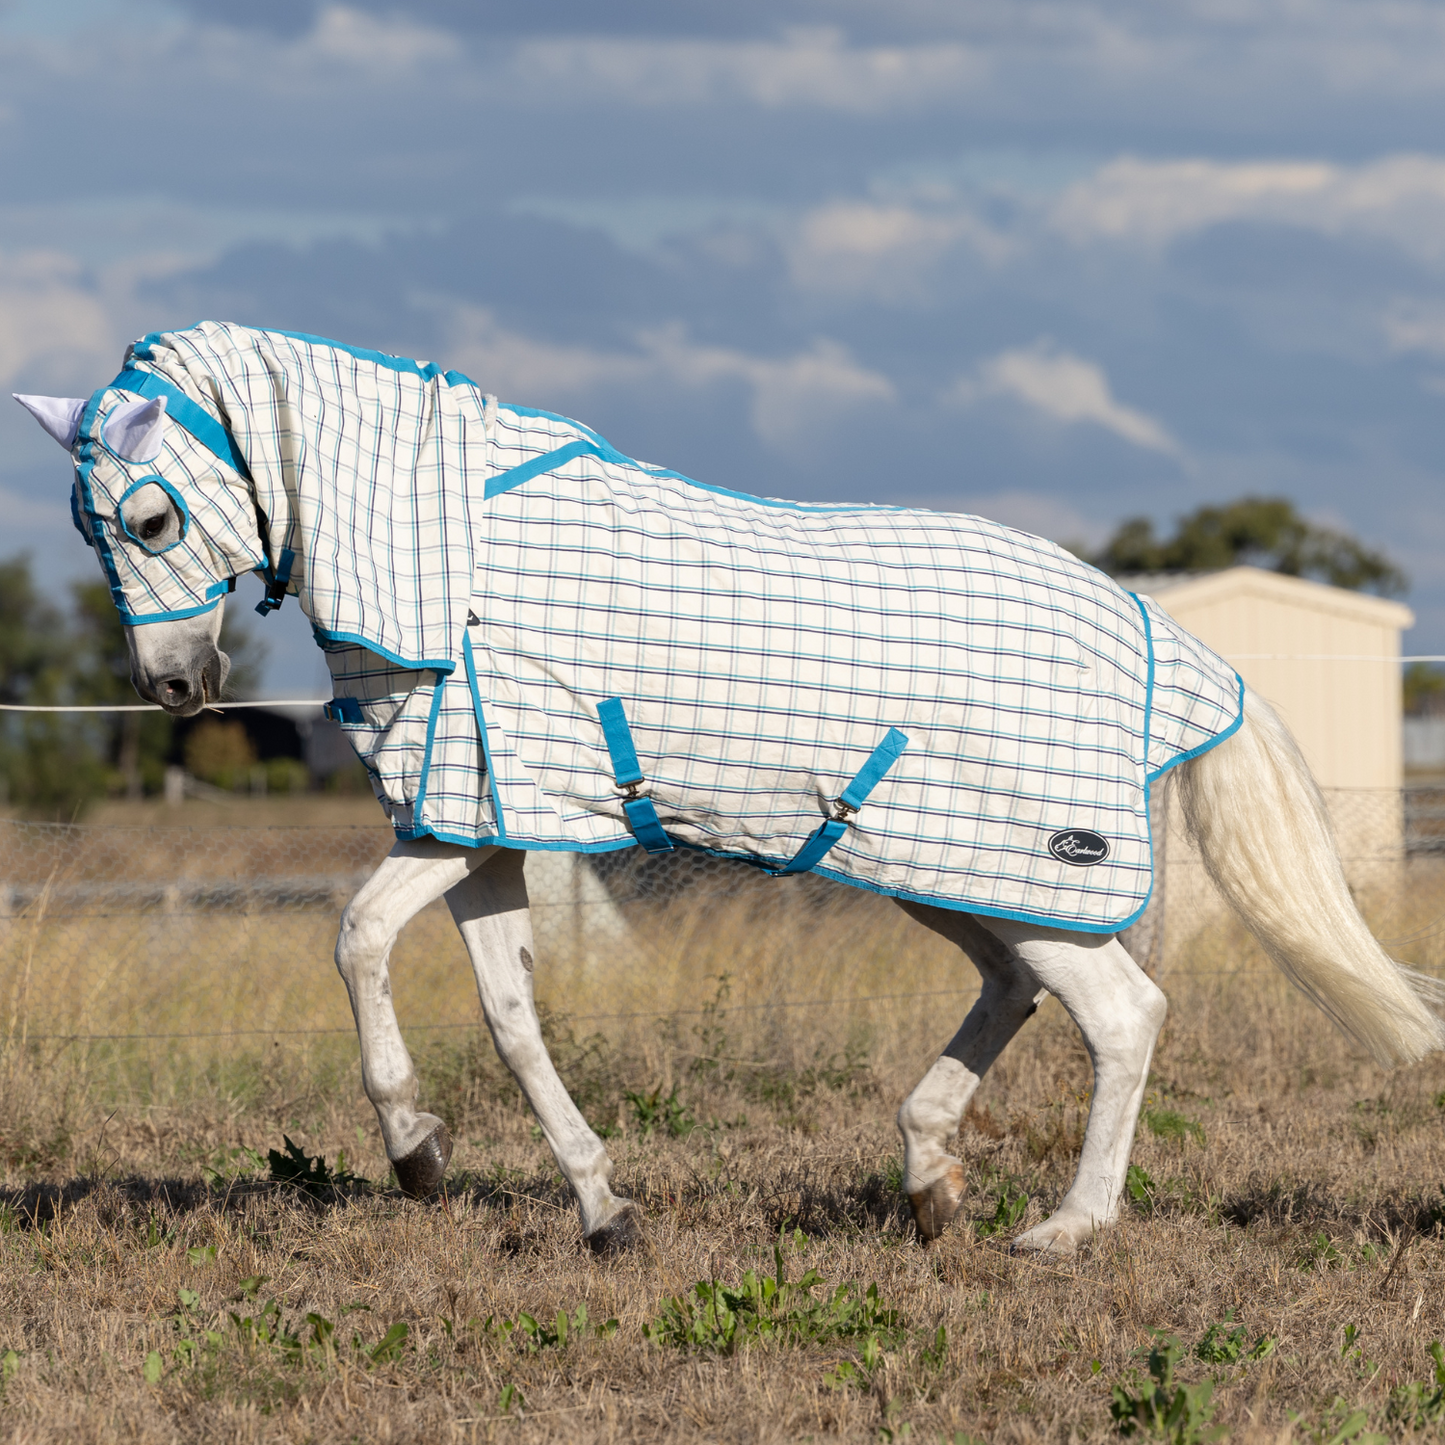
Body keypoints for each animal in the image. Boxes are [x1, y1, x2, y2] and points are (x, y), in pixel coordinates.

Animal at [14, 325, 1445, 1254]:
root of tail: (1159, 634)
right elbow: (511, 1017)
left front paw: (416, 1152)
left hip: (1017, 869)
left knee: (1124, 1013)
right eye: (87, 526)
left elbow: (356, 936)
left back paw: (1063, 1228)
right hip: (936, 870)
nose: (176, 686)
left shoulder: (460, 824)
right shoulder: (482, 824)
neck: (457, 569)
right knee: (1018, 991)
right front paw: (601, 1208)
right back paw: (927, 1176)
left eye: (148, 516)